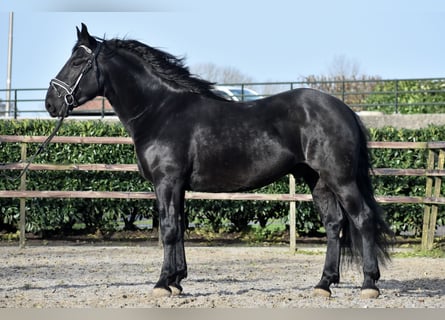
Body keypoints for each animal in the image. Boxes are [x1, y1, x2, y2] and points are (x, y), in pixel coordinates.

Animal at [46, 23, 392, 298]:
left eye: (78, 61)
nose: (50, 103)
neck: (160, 110)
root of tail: (344, 109)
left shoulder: (167, 182)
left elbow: (168, 229)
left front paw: (162, 283)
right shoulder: (177, 186)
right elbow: (179, 227)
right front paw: (177, 281)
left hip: (340, 179)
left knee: (362, 219)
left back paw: (369, 285)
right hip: (317, 179)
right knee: (334, 224)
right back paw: (323, 285)